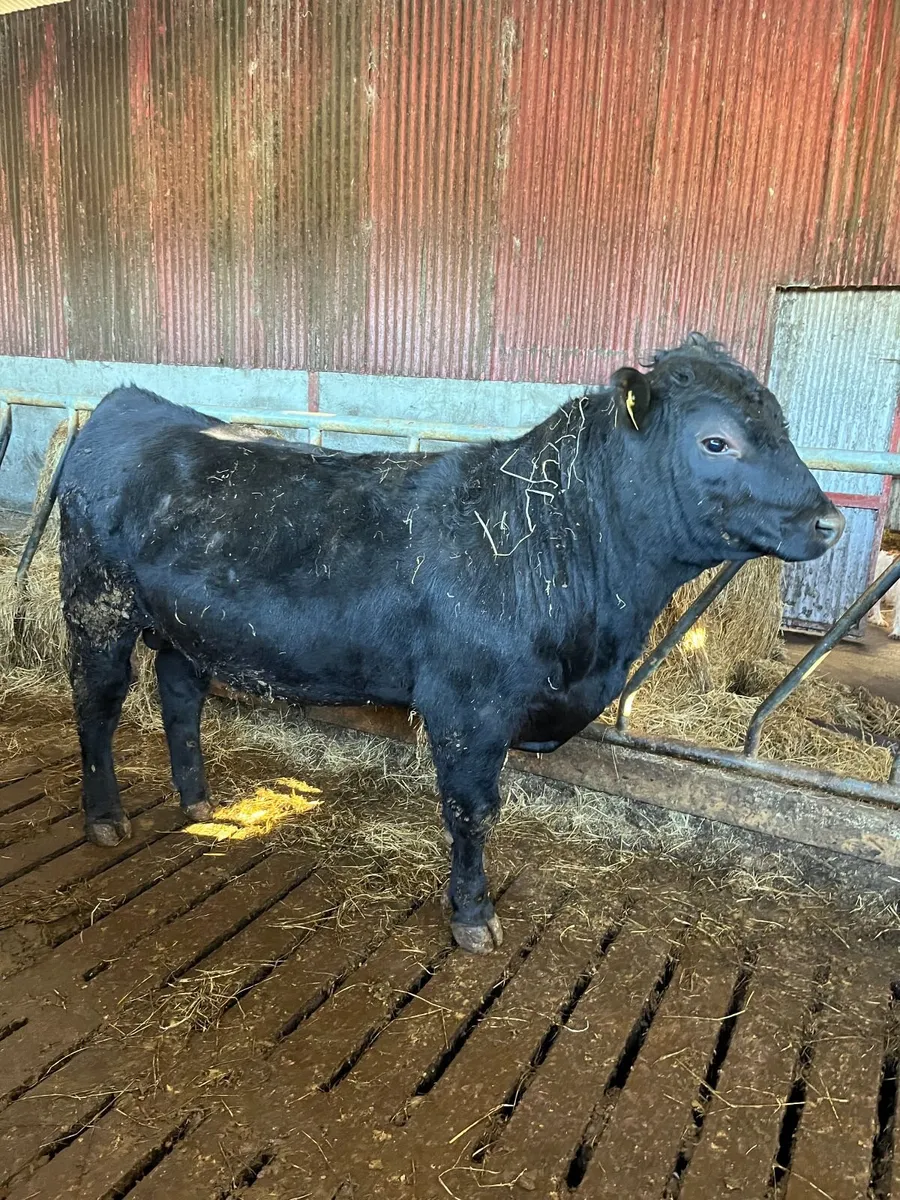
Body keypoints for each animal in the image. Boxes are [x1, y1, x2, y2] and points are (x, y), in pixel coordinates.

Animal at [57, 334, 844, 953]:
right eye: (717, 441)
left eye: (781, 424)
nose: (829, 522)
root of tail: (129, 402)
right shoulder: (468, 706)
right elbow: (474, 809)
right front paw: (472, 915)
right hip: (97, 609)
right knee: (97, 706)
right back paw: (105, 818)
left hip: (186, 627)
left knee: (179, 692)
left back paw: (199, 804)